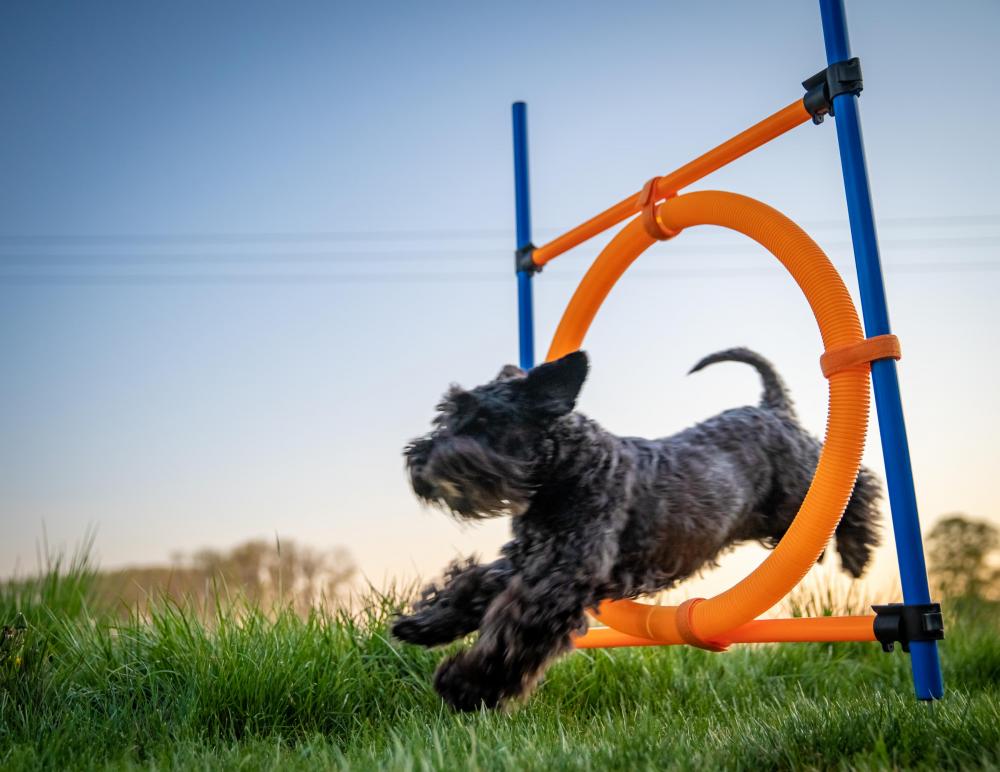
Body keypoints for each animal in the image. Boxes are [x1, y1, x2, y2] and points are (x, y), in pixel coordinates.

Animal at [394, 350, 880, 712]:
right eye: (447, 415)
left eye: (483, 422)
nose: (419, 461)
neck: (566, 470)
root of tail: (770, 409)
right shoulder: (527, 563)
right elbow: (471, 585)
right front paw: (423, 623)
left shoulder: (557, 582)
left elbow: (512, 633)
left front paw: (464, 685)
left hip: (799, 489)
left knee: (858, 486)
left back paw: (858, 551)